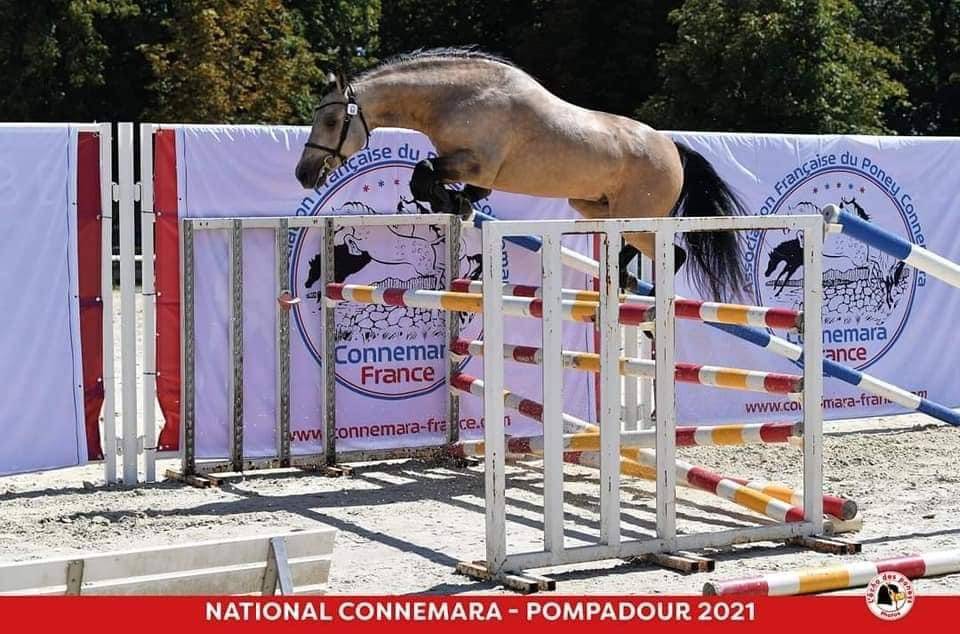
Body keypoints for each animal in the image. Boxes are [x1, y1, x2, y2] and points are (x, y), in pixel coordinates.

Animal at [295, 48, 748, 300]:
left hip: (635, 214)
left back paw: (631, 287)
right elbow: (435, 181)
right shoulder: (476, 172)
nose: (303, 173)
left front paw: (453, 204)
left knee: (674, 253)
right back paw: (622, 278)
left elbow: (423, 174)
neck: (458, 97)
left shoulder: (479, 162)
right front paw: (457, 205)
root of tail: (673, 147)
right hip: (592, 206)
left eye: (332, 121)